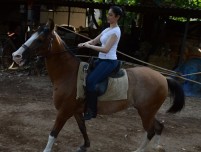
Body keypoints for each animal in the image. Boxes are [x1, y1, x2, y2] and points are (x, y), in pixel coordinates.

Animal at [12, 18, 185, 152]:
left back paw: (140, 149)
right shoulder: (76, 111)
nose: (16, 56)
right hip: (148, 111)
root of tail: (163, 78)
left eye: (40, 39)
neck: (68, 73)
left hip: (146, 111)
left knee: (150, 130)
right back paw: (156, 147)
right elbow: (82, 128)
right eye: (31, 35)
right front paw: (85, 145)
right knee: (158, 127)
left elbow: (53, 132)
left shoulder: (64, 111)